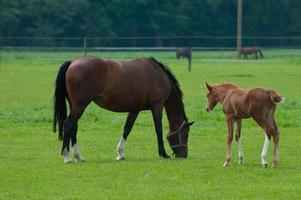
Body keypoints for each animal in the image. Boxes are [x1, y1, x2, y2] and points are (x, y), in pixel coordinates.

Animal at [52, 55, 192, 162]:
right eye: (185, 134)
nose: (183, 155)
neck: (158, 75)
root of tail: (72, 62)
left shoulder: (135, 109)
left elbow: (127, 129)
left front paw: (120, 154)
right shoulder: (157, 105)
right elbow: (159, 129)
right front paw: (163, 153)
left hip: (75, 105)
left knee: (73, 126)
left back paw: (78, 156)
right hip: (80, 105)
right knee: (68, 124)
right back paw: (67, 157)